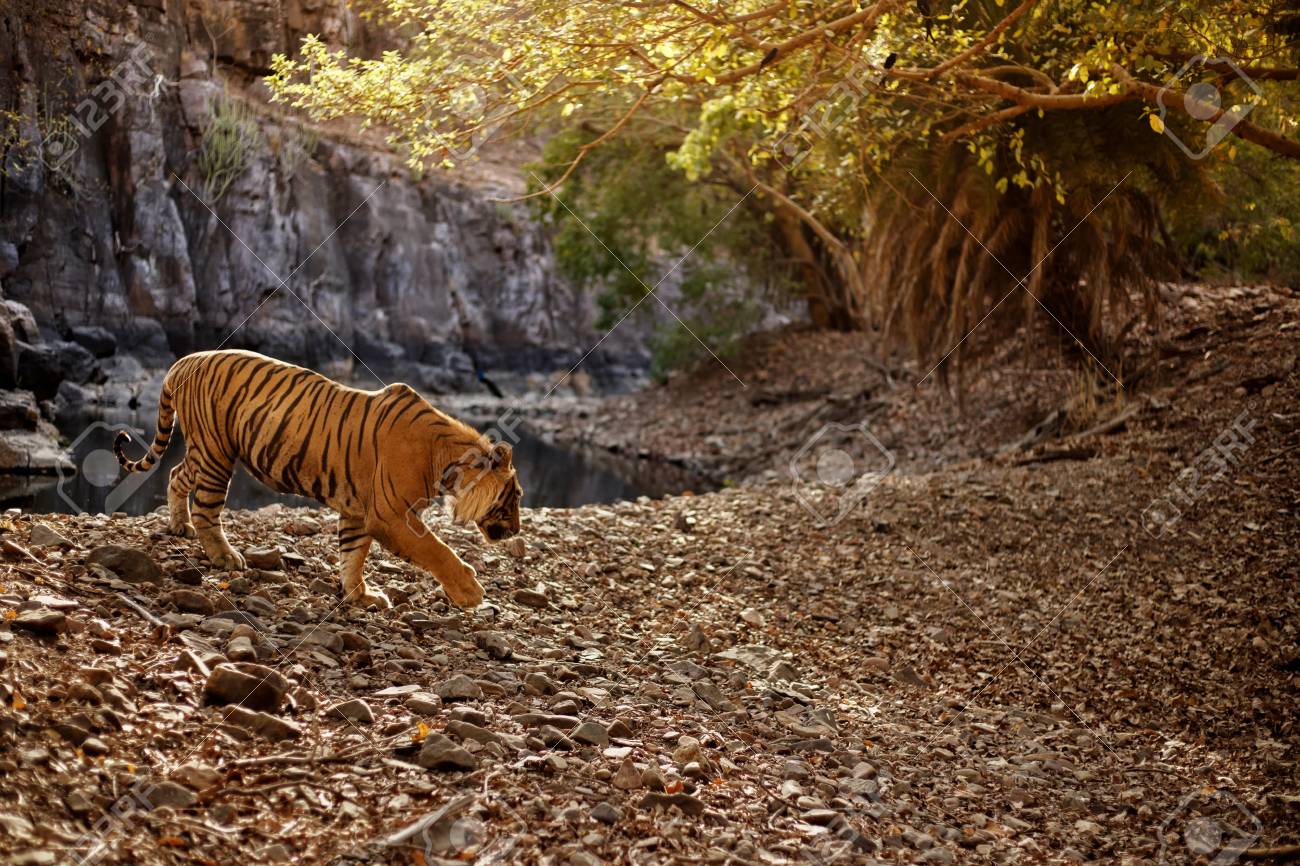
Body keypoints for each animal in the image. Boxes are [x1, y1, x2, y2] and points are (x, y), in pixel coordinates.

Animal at [113, 349, 522, 610]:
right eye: (514, 496)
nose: (518, 530)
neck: (445, 461)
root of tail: (185, 360)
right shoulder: (391, 516)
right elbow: (438, 551)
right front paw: (470, 592)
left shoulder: (358, 511)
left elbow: (352, 555)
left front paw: (360, 596)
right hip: (216, 451)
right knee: (206, 509)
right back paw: (225, 556)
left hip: (203, 450)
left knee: (176, 474)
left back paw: (178, 526)